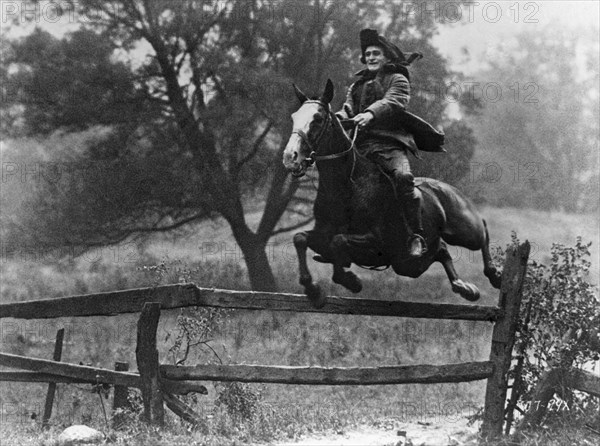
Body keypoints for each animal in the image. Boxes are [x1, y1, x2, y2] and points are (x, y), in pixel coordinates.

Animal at [282, 79, 502, 306]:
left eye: (317, 119)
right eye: (294, 117)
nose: (290, 157)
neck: (348, 185)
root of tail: (448, 188)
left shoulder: (377, 240)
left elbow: (339, 241)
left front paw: (350, 280)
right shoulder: (322, 234)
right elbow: (300, 238)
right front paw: (313, 289)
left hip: (464, 231)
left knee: (482, 232)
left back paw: (494, 275)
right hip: (408, 265)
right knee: (441, 251)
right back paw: (464, 287)